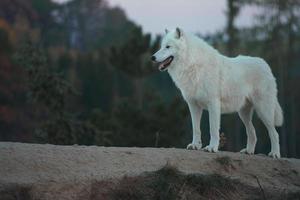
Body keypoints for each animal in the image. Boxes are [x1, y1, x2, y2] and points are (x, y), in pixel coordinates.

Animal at [152, 27, 284, 158]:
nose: (152, 57)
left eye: (168, 46)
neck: (193, 64)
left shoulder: (213, 104)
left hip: (263, 111)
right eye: (161, 46)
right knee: (252, 132)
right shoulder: (193, 105)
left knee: (274, 133)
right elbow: (196, 129)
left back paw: (275, 154)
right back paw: (248, 151)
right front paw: (195, 145)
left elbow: (213, 129)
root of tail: (265, 64)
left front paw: (212, 148)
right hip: (243, 114)